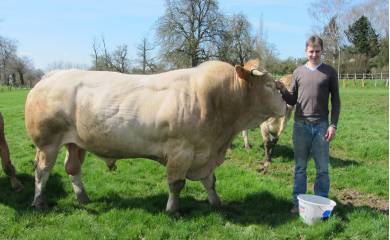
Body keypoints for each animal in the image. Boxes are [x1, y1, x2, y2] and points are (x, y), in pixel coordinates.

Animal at [25, 59, 286, 217]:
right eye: (270, 85)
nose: (287, 104)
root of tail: (55, 74)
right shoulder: (182, 150)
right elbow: (176, 183)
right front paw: (173, 211)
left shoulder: (204, 149)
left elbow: (210, 181)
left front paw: (217, 202)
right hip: (47, 143)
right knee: (42, 170)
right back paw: (39, 202)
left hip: (76, 143)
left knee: (72, 168)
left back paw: (83, 198)